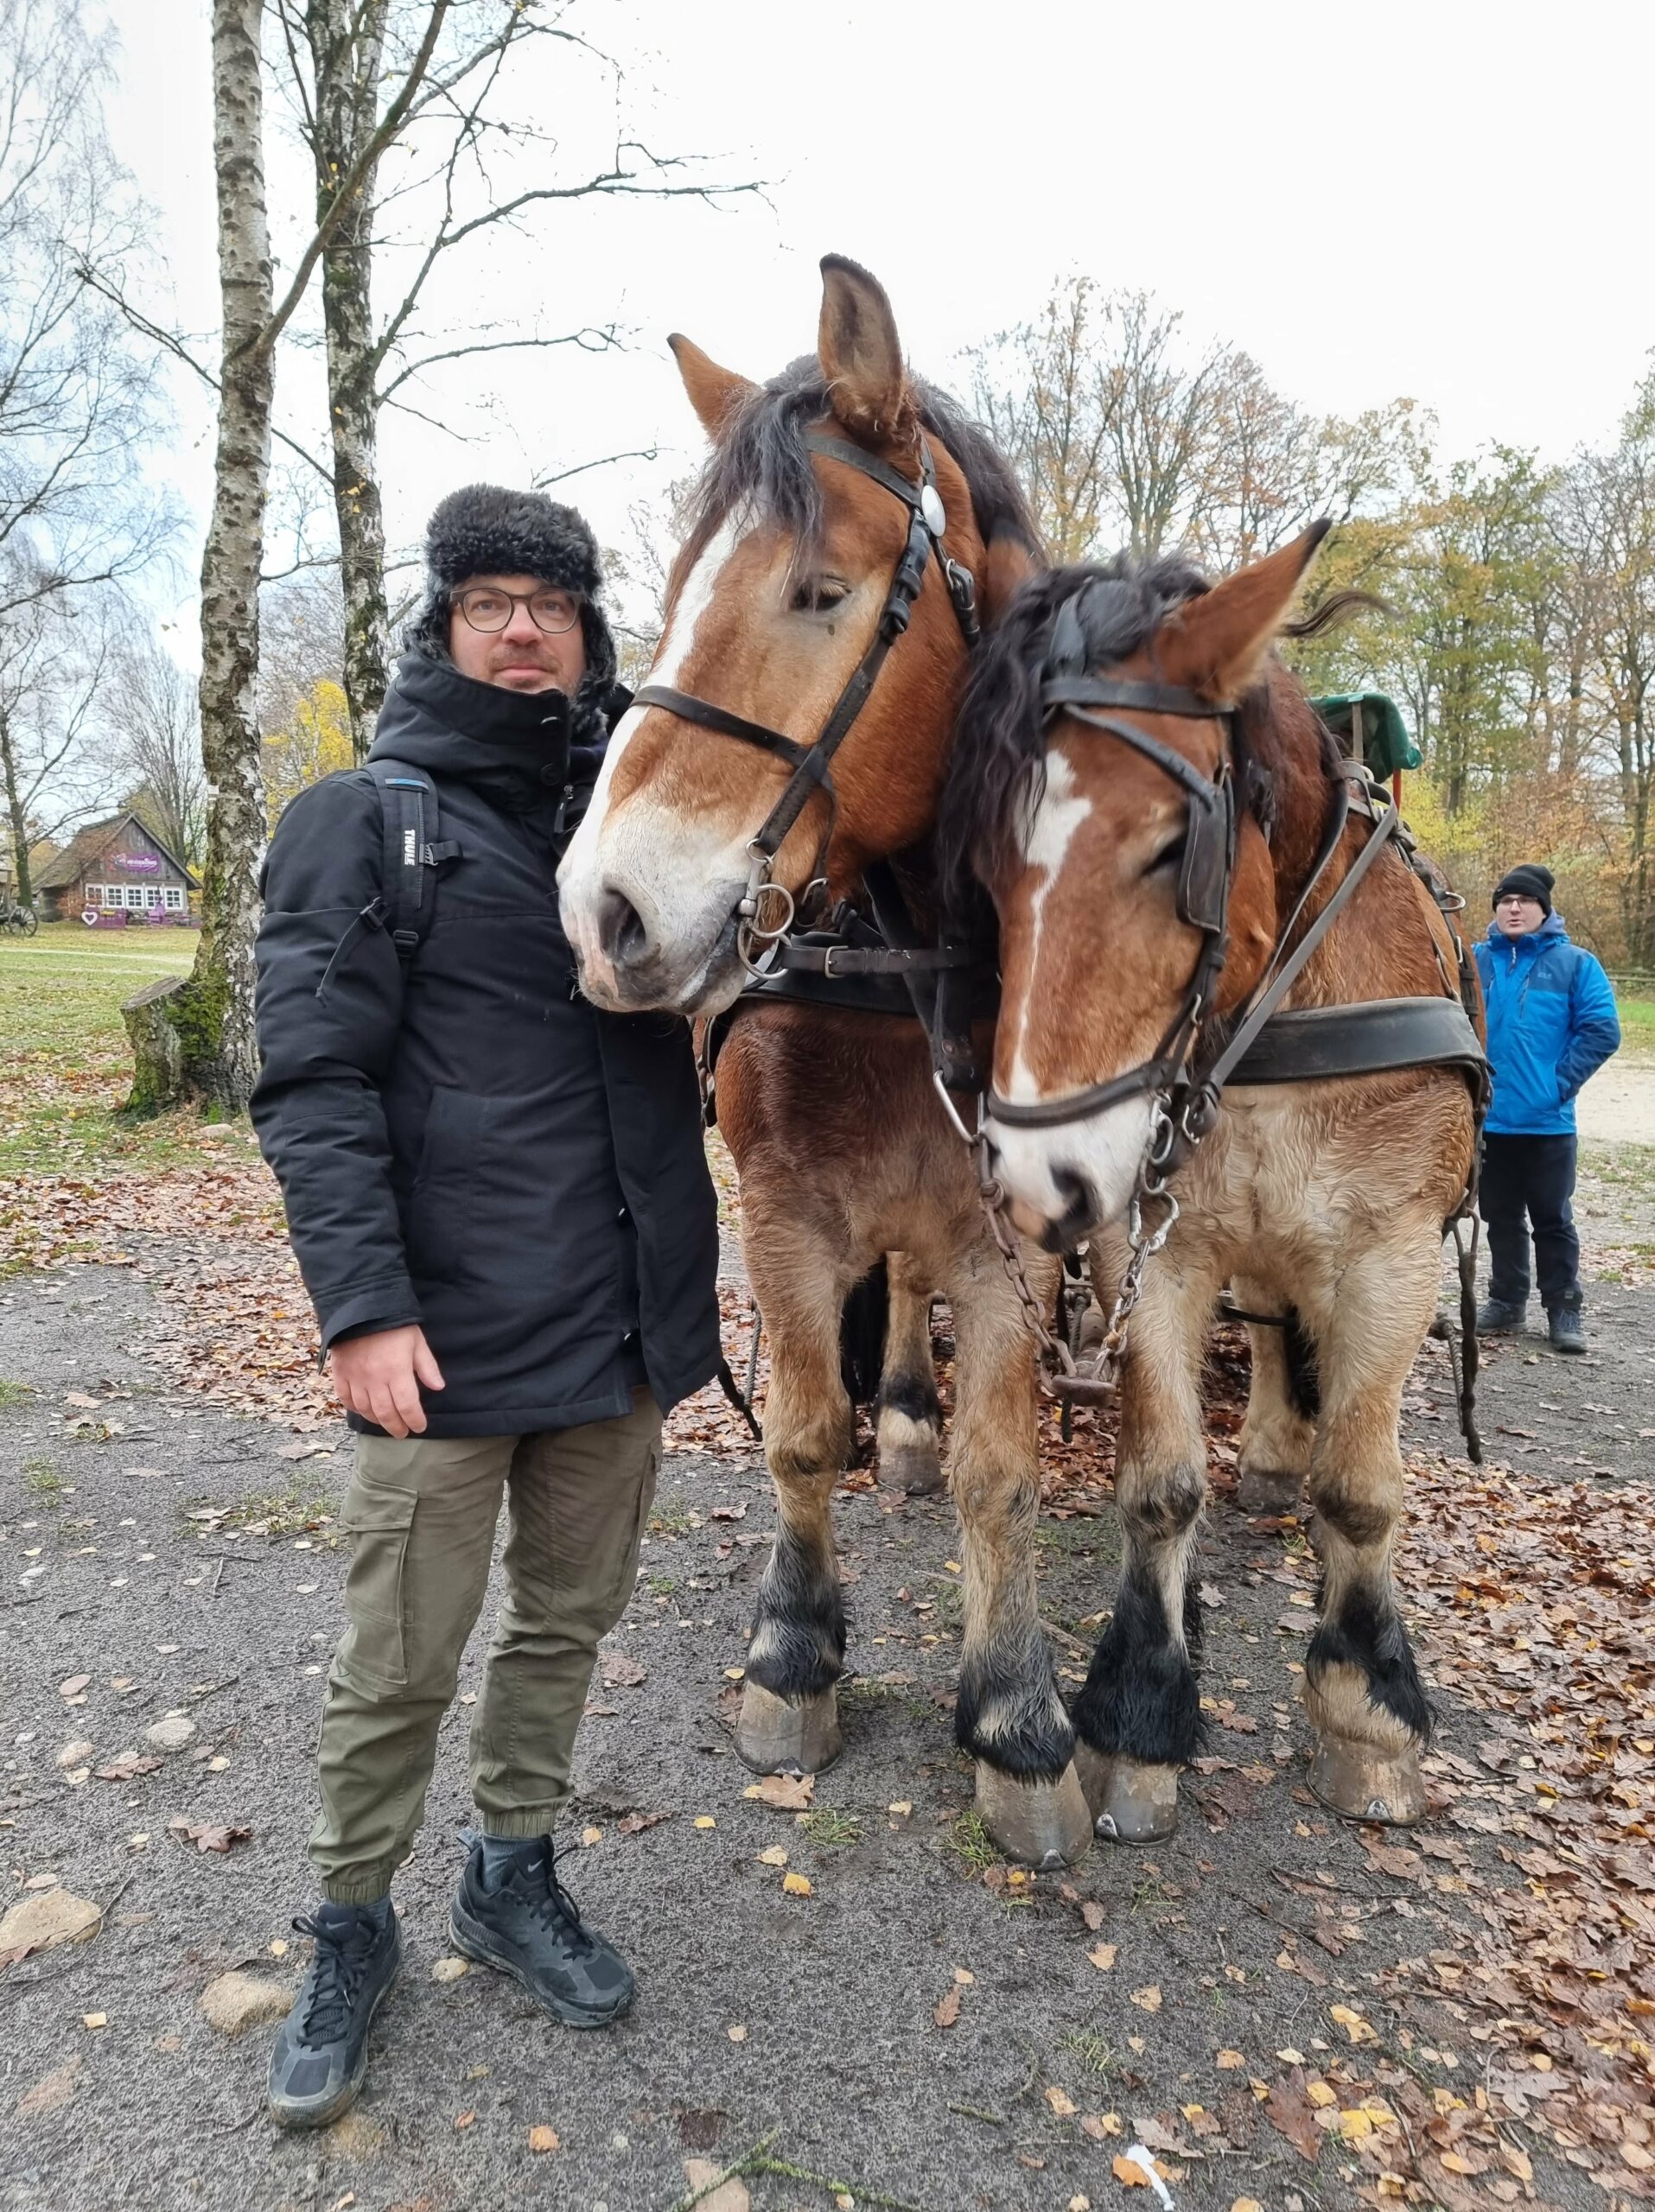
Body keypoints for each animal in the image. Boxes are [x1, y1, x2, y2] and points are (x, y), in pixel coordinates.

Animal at [555, 258, 1111, 1866]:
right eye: (672, 596)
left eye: (819, 592)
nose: (604, 911)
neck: (896, 967)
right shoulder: (785, 1210)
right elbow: (802, 1434)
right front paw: (795, 1652)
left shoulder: (1009, 1236)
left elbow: (1003, 1468)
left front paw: (1017, 1715)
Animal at [942, 539, 1486, 1849]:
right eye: (984, 869)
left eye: (1161, 850)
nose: (1035, 1178)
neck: (1273, 1021)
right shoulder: (1158, 1251)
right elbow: (1159, 1485)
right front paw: (1141, 1711)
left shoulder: (1391, 1253)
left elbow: (1361, 1488)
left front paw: (1367, 1706)